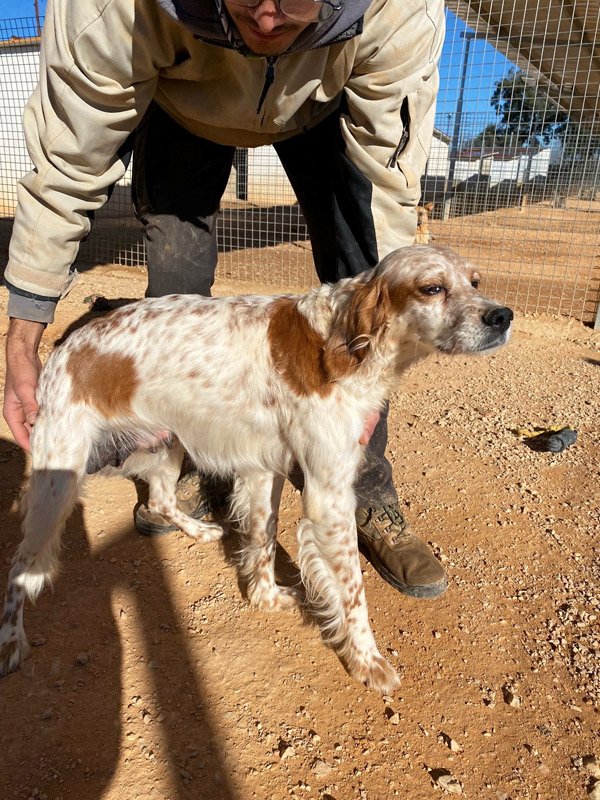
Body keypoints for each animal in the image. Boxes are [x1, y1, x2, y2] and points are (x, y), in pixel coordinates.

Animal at [0, 245, 513, 692]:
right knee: (19, 565)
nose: (503, 316)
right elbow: (353, 592)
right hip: (58, 482)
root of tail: (65, 347)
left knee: (162, 500)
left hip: (169, 442)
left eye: (475, 282)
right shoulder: (328, 494)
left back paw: (200, 529)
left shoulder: (266, 467)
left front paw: (264, 597)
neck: (346, 342)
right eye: (432, 288)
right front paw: (367, 661)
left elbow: (263, 536)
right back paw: (11, 641)